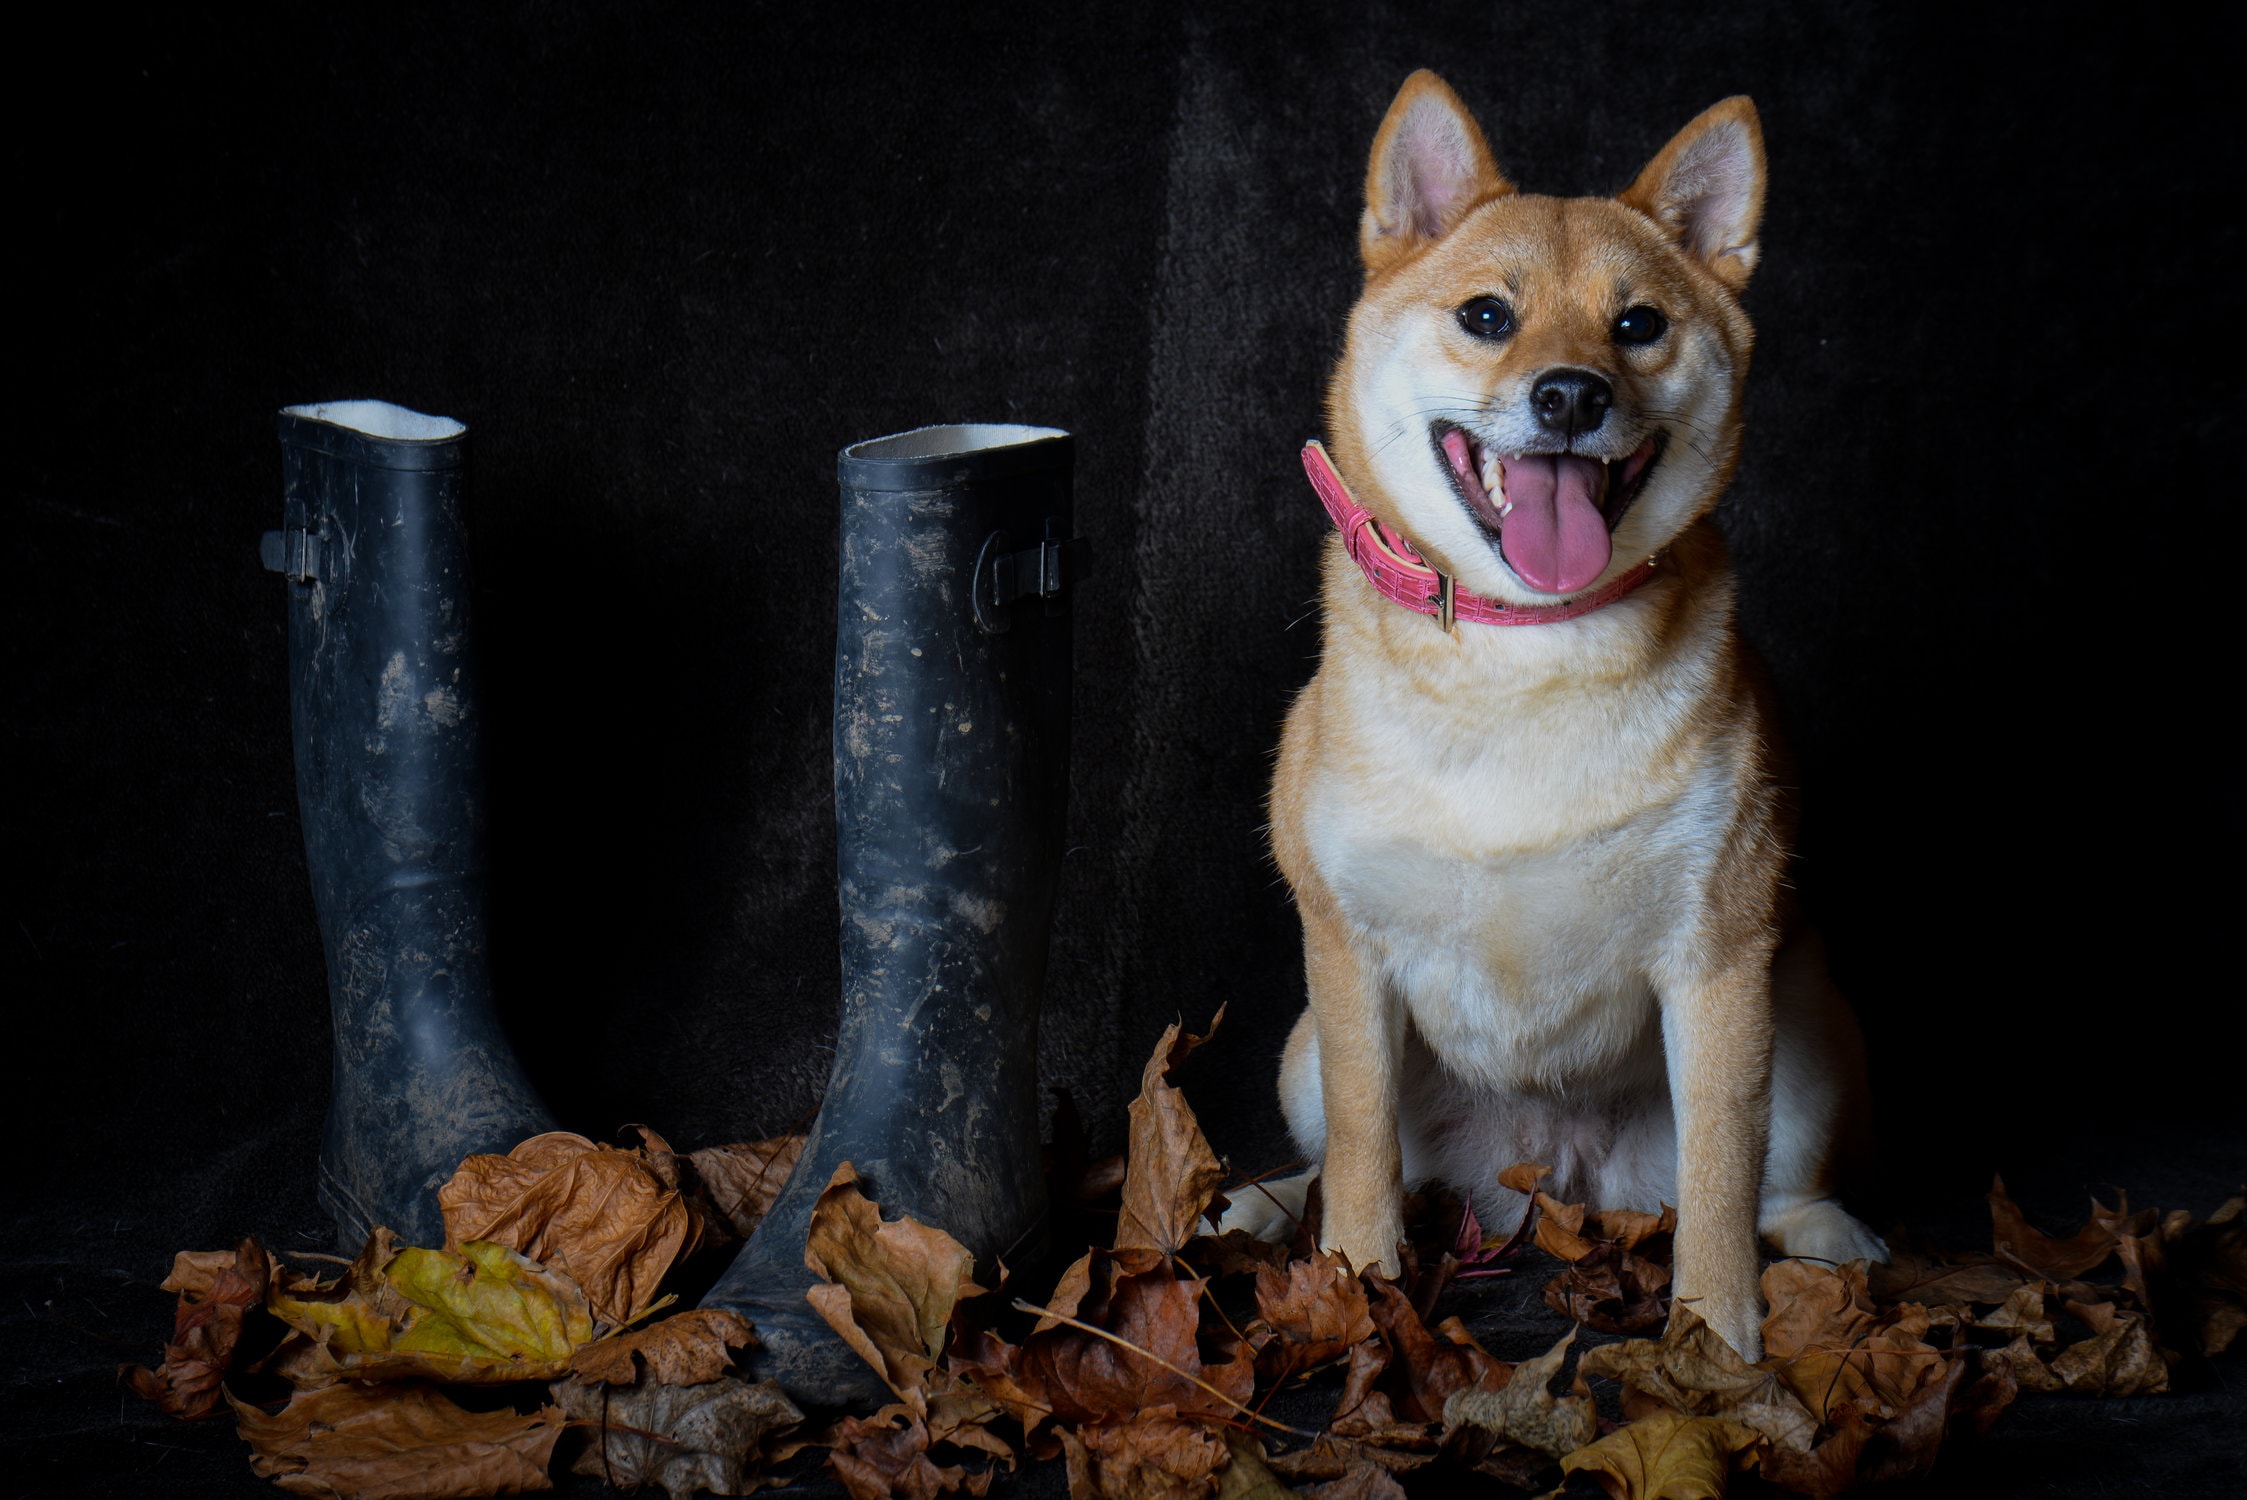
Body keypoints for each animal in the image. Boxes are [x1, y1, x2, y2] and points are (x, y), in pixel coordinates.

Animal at [1222, 71, 1886, 1361]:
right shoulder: (1349, 960)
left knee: (1778, 1183)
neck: (1523, 656)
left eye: (1638, 326)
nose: (1571, 393)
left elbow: (1721, 1181)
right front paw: (1357, 1291)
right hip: (1301, 1052)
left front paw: (1723, 1349)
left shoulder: (1718, 966)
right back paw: (1264, 1205)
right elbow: (1366, 1155)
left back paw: (1833, 1238)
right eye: (1487, 315)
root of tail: (1552, 1182)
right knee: (1347, 1157)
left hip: (1810, 1027)